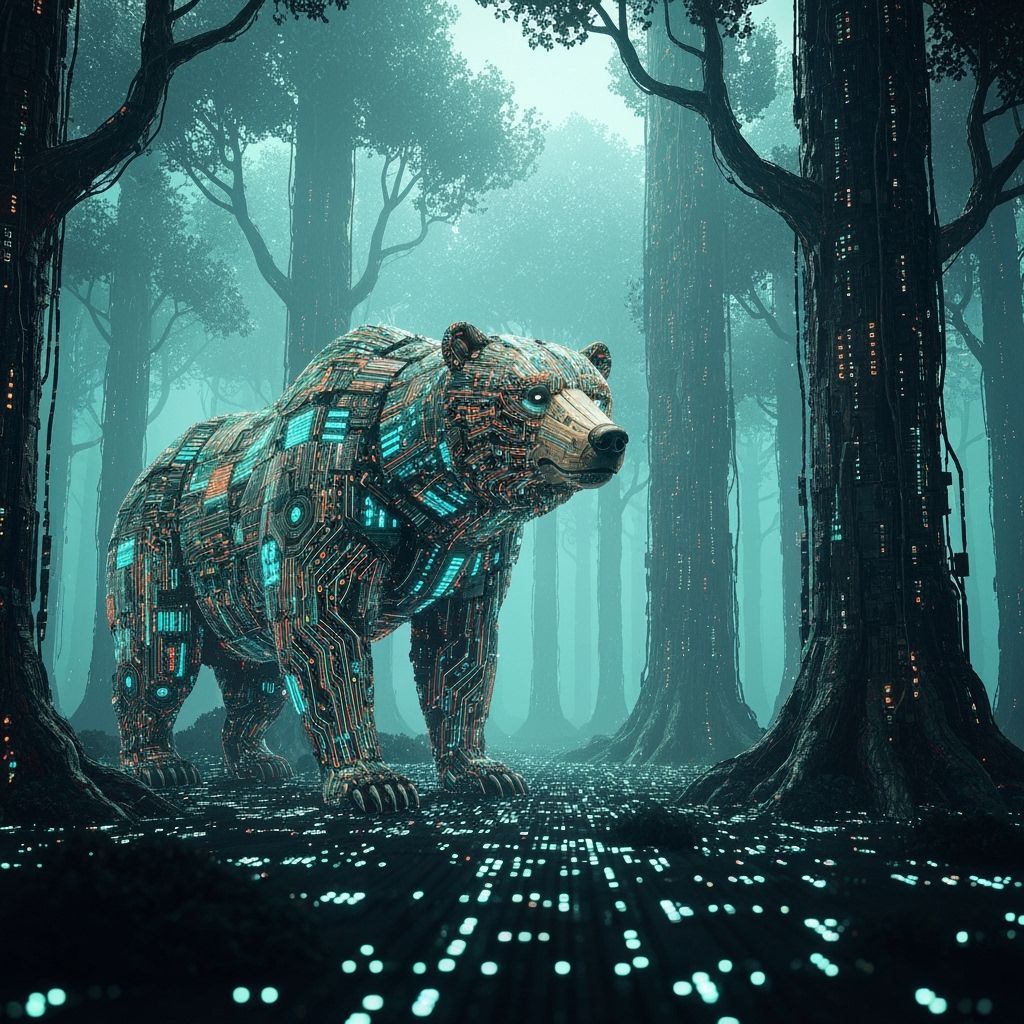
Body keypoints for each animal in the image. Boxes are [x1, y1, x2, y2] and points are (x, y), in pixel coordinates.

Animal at [106, 322, 627, 812]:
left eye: (598, 394)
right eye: (535, 395)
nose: (608, 438)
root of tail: (148, 468)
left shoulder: (478, 552)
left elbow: (461, 649)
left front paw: (484, 771)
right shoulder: (323, 494)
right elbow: (327, 635)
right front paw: (375, 783)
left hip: (239, 612)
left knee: (259, 684)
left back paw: (258, 761)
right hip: (159, 543)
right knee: (157, 658)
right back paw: (158, 764)